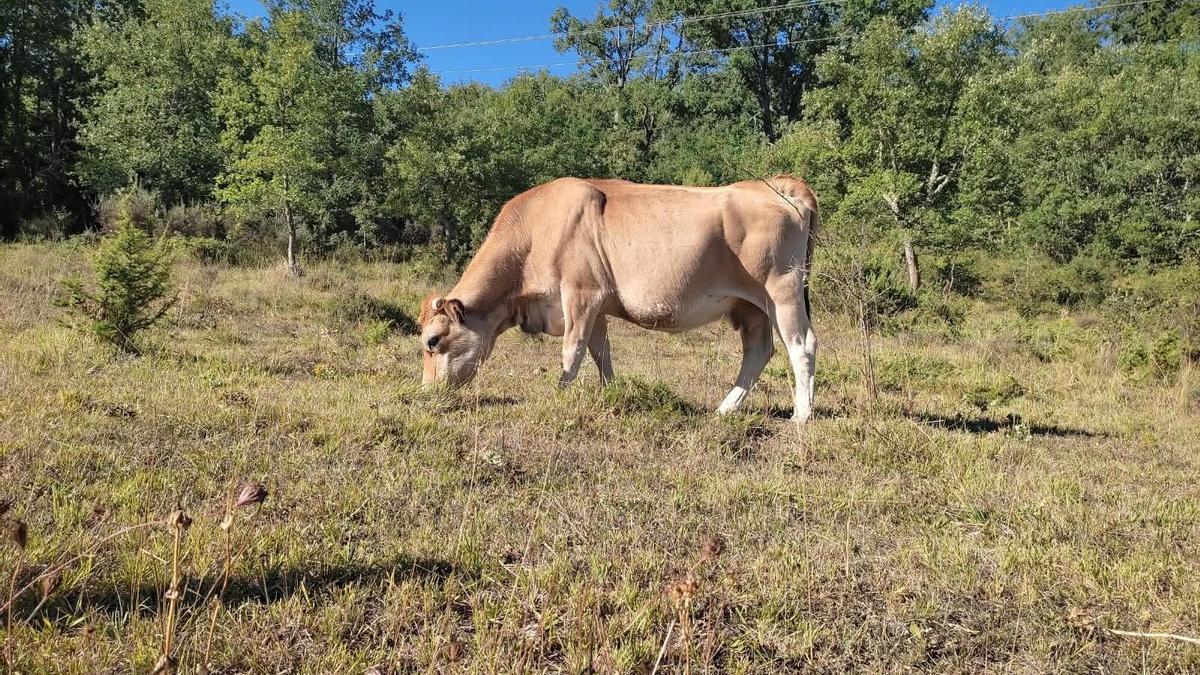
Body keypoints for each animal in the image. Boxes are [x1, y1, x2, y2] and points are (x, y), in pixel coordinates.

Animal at [418, 175, 819, 422]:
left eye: (432, 340)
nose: (426, 392)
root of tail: (776, 185)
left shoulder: (581, 294)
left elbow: (572, 350)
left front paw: (560, 394)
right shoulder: (598, 307)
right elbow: (601, 352)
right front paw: (609, 393)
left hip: (781, 292)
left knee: (802, 345)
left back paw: (801, 414)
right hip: (751, 307)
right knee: (758, 352)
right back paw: (725, 409)